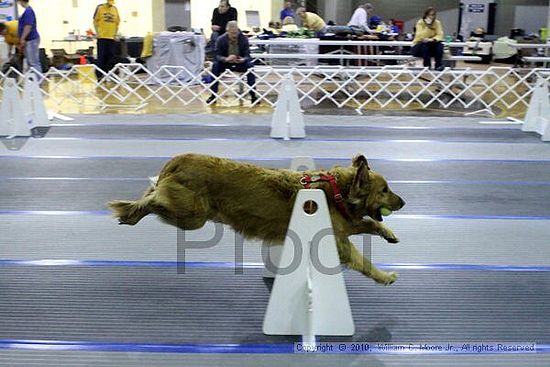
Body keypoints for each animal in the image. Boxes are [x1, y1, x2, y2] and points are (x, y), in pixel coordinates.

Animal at [109, 154, 406, 286]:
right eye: (384, 190)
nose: (403, 202)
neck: (337, 191)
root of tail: (176, 161)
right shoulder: (338, 240)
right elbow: (363, 260)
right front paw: (384, 276)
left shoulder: (346, 225)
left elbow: (370, 223)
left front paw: (389, 233)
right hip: (193, 216)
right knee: (152, 200)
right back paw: (131, 211)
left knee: (150, 195)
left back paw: (130, 214)